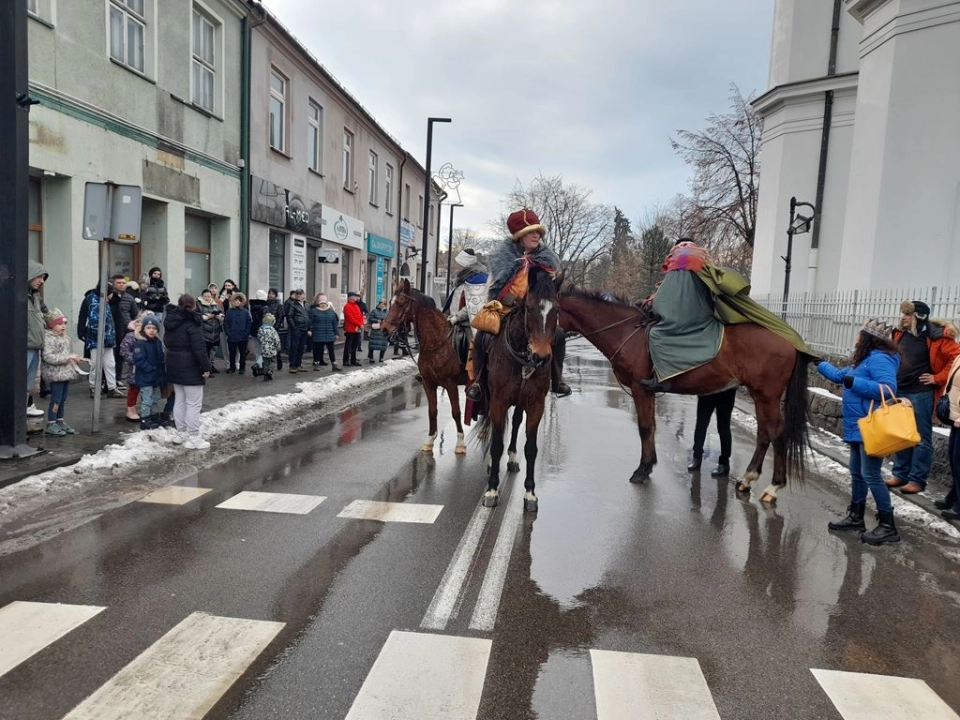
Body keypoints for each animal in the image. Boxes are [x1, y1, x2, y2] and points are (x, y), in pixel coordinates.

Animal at [380, 278, 466, 452]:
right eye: (390, 302)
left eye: (401, 303)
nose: (385, 329)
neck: (437, 342)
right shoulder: (428, 383)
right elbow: (432, 411)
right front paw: (429, 440)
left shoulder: (451, 384)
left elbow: (456, 412)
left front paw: (460, 443)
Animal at [474, 266, 564, 512]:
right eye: (530, 308)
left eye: (556, 310)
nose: (541, 357)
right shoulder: (498, 401)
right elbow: (496, 443)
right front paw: (492, 489)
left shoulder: (535, 404)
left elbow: (531, 448)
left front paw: (530, 493)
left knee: (515, 424)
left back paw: (513, 457)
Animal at [556, 286, 808, 500]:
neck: (626, 332)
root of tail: (789, 340)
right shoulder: (648, 392)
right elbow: (651, 427)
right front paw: (649, 465)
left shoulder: (640, 389)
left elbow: (644, 428)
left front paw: (642, 470)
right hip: (759, 396)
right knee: (764, 433)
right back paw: (747, 478)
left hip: (768, 396)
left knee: (776, 433)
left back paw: (773, 486)